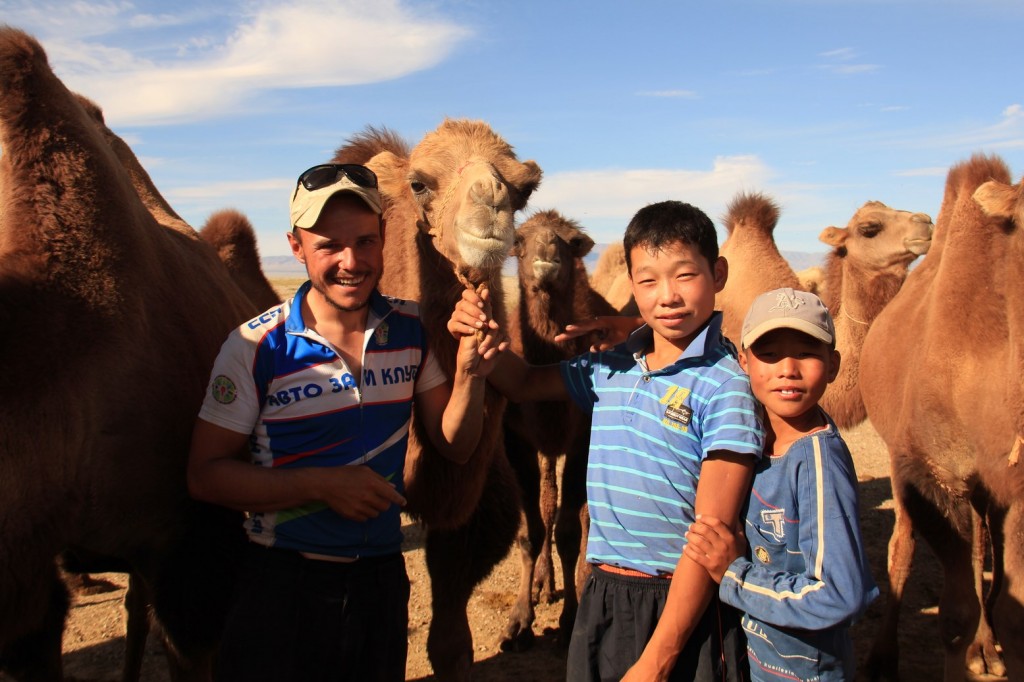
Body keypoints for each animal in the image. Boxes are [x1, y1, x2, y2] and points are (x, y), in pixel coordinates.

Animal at [497, 208, 610, 647]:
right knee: (547, 502)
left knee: (583, 515)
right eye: (520, 239)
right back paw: (544, 583)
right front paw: (519, 619)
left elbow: (568, 532)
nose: (547, 253)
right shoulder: (517, 439)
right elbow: (531, 530)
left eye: (569, 241)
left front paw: (568, 622)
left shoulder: (582, 437)